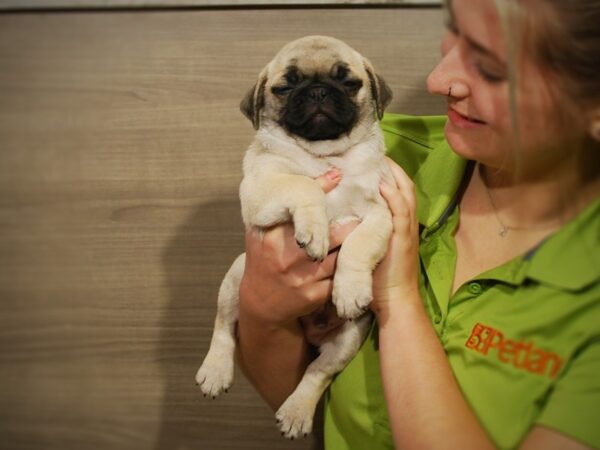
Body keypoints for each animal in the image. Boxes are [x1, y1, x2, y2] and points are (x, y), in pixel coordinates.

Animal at [197, 36, 394, 440]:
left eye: (348, 81)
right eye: (284, 87)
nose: (318, 91)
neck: (325, 156)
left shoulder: (380, 213)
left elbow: (358, 246)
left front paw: (349, 289)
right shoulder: (259, 189)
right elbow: (304, 184)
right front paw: (315, 230)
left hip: (349, 338)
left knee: (317, 373)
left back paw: (296, 412)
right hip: (237, 274)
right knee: (224, 327)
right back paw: (215, 371)